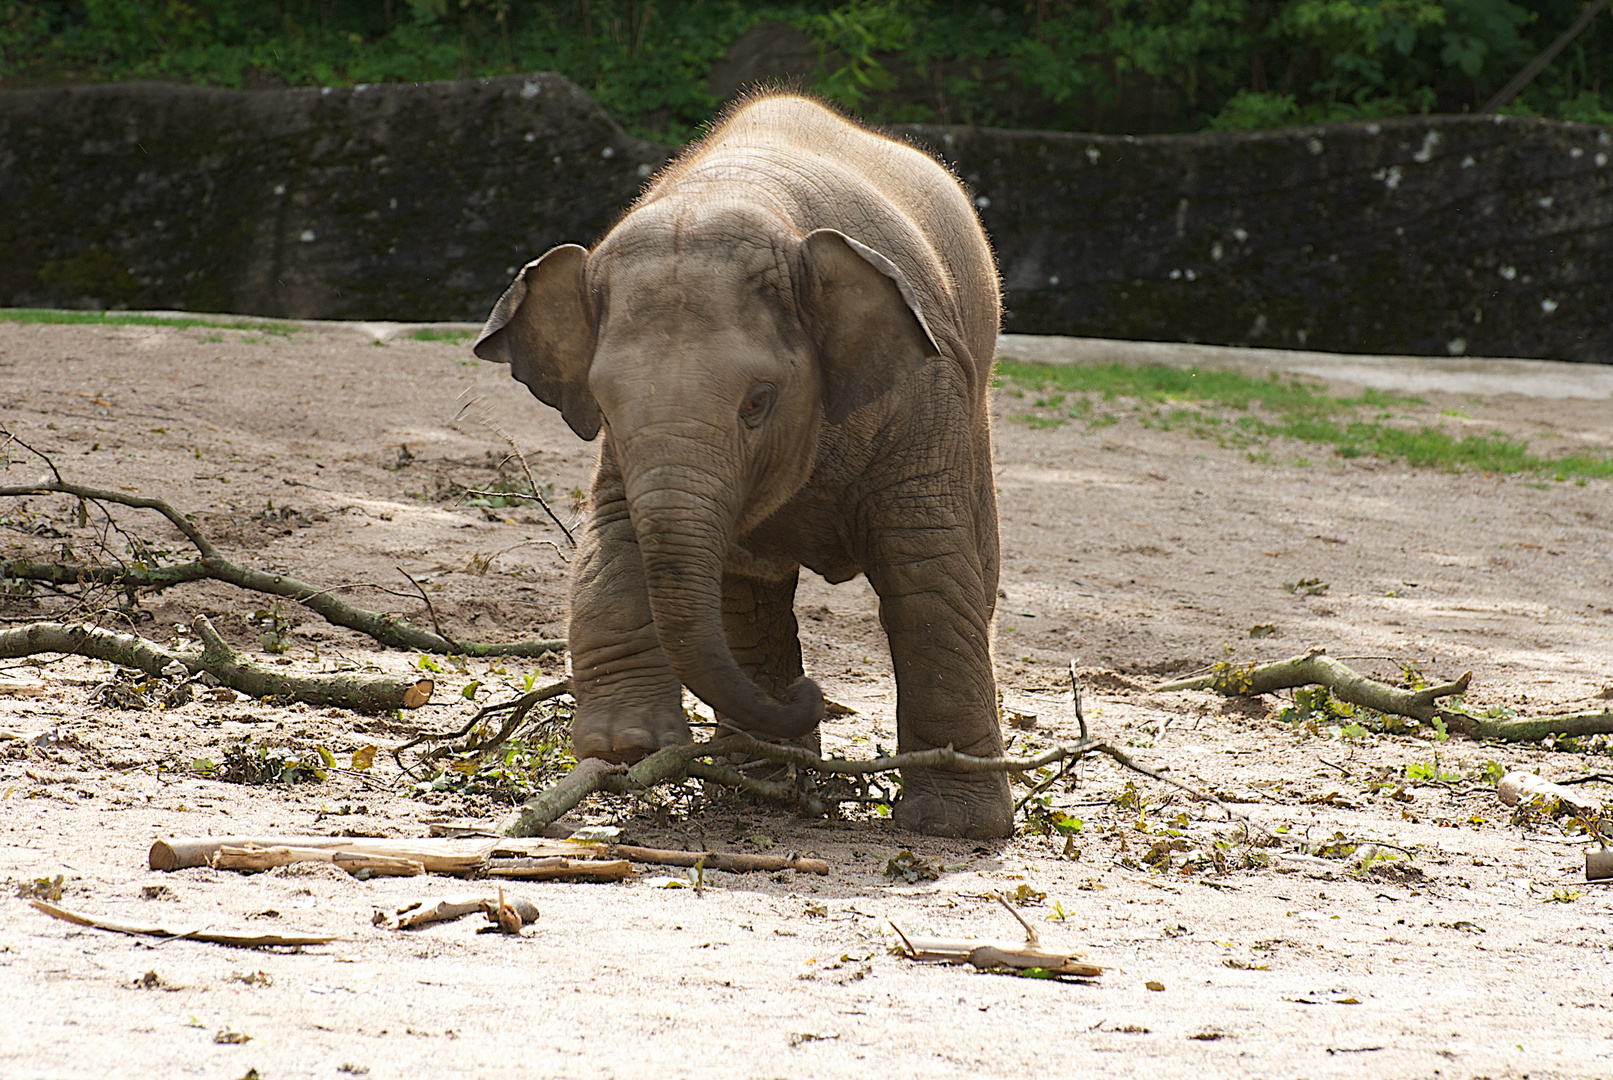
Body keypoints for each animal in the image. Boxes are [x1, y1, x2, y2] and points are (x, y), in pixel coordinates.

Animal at [470, 93, 1006, 844]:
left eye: (758, 402)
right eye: (602, 403)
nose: (818, 696)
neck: (739, 192)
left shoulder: (924, 394)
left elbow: (926, 571)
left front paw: (955, 829)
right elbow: (614, 539)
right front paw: (626, 746)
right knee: (749, 599)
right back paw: (761, 779)